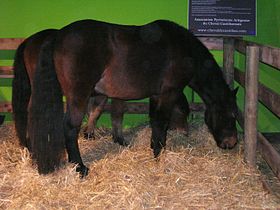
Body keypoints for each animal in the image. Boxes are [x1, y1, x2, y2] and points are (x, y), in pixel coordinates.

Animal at [26, 20, 237, 177]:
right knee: (70, 128)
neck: (183, 48)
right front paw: (159, 156)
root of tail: (58, 35)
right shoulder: (169, 92)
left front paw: (154, 148)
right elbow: (162, 122)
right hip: (78, 96)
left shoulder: (156, 94)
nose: (232, 143)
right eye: (231, 115)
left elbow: (155, 121)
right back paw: (80, 167)